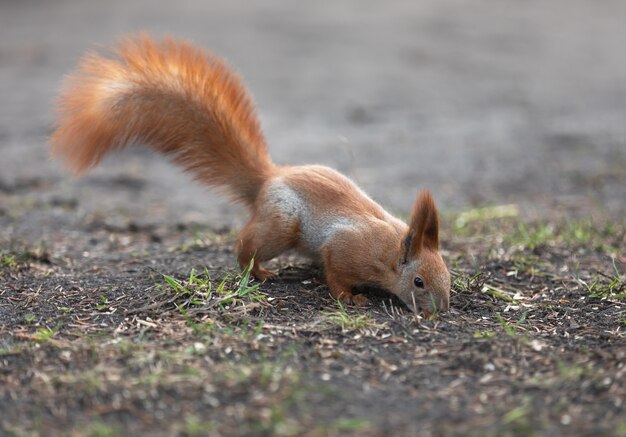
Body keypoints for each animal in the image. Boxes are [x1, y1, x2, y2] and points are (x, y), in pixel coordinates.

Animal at [48, 34, 448, 314]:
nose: (441, 310)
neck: (389, 250)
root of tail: (268, 178)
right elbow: (335, 274)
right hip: (281, 225)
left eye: (447, 272)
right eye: (418, 282)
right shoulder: (345, 249)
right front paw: (350, 297)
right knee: (245, 246)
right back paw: (257, 272)